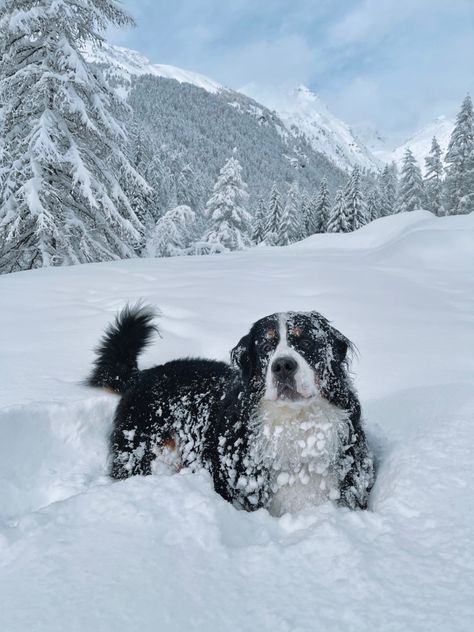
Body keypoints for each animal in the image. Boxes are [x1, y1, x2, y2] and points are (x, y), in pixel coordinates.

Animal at [87, 304, 372, 516]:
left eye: (306, 341)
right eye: (266, 346)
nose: (282, 366)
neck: (296, 427)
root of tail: (142, 375)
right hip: (142, 453)